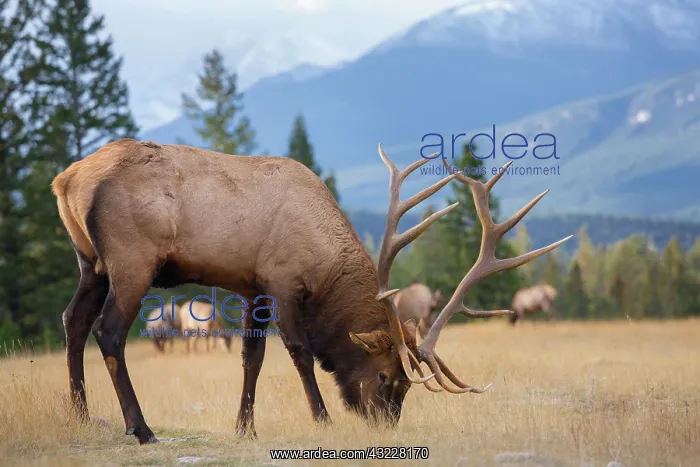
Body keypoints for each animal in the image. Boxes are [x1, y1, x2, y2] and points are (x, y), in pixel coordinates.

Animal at [51, 138, 572, 445]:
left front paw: (245, 426)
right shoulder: (282, 281)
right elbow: (300, 352)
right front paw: (322, 417)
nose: (384, 425)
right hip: (132, 259)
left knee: (73, 320)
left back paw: (81, 414)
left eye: (407, 387)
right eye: (387, 377)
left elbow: (252, 357)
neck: (325, 265)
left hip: (90, 263)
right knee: (108, 331)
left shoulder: (252, 287)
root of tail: (65, 179)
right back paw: (140, 428)